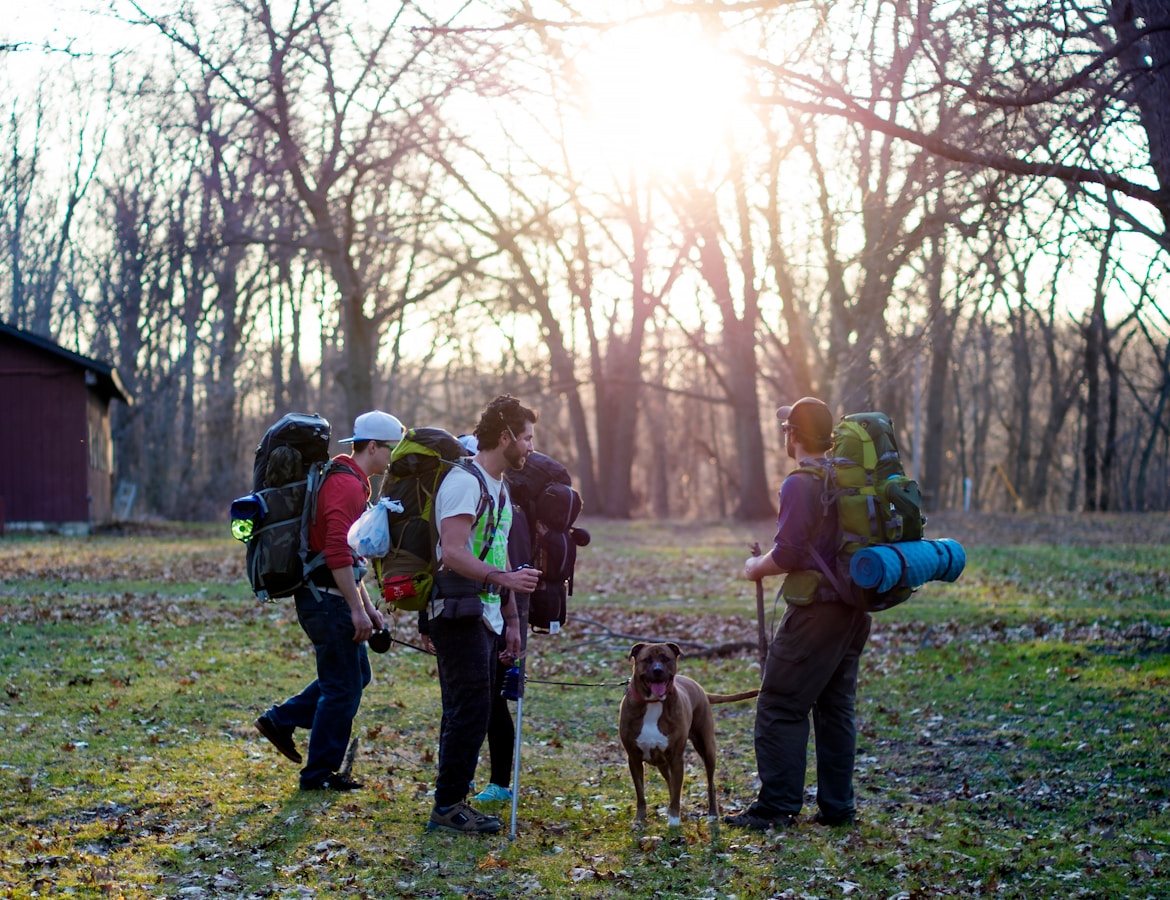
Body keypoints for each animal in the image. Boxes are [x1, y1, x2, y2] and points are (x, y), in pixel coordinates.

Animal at [622, 641, 758, 823]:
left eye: (666, 659)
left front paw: (674, 821)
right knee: (670, 781)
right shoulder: (634, 758)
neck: (653, 703)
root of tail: (700, 688)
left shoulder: (676, 758)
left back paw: (712, 814)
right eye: (647, 659)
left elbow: (676, 792)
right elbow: (641, 793)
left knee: (710, 783)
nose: (658, 670)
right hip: (663, 762)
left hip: (707, 747)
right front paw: (639, 819)